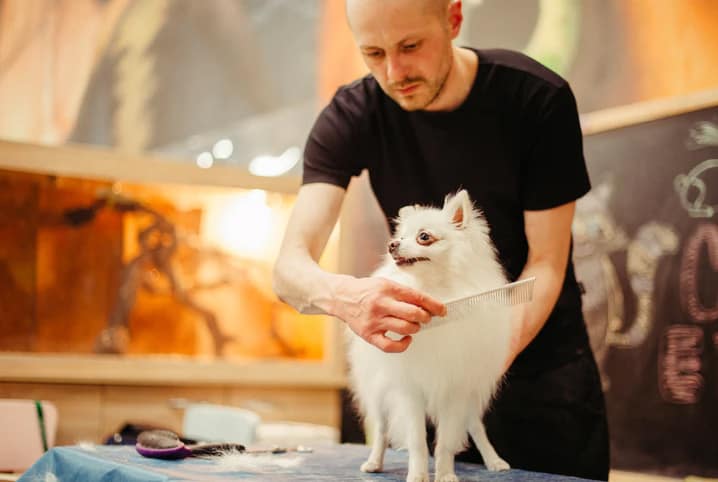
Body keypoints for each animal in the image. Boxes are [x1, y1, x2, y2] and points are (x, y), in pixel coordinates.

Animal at [348, 190, 512, 482]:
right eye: (400, 237)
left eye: (424, 237)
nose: (392, 244)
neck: (435, 290)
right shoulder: (409, 390)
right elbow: (417, 441)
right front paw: (417, 474)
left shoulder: (456, 390)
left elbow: (445, 442)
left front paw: (445, 474)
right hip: (379, 392)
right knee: (381, 430)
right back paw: (374, 462)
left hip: (470, 398)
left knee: (476, 427)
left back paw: (494, 460)